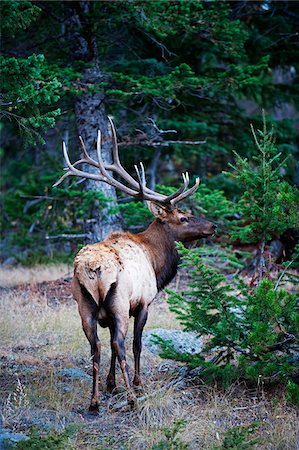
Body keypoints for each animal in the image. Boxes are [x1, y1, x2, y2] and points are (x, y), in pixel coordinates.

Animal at [55, 118, 217, 414]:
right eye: (184, 217)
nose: (213, 226)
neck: (156, 260)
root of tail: (94, 267)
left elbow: (108, 346)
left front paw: (111, 385)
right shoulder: (143, 302)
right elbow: (137, 344)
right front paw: (138, 385)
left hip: (85, 305)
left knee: (96, 346)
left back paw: (94, 401)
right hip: (119, 302)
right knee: (120, 344)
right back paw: (131, 397)